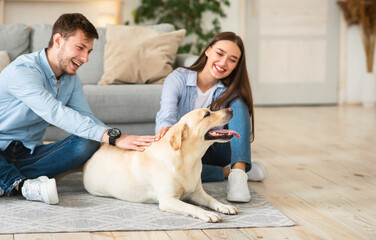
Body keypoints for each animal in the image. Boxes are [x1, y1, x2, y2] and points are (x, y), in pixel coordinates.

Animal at [83, 108, 241, 222]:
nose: (231, 108)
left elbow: (211, 199)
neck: (188, 160)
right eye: (207, 114)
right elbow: (192, 207)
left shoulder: (197, 192)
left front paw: (224, 206)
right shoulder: (168, 200)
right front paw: (207, 213)